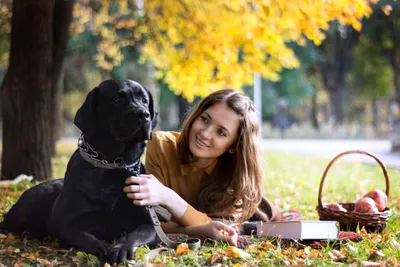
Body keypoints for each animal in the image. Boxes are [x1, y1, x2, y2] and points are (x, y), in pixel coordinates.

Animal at [0, 79, 165, 264]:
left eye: (144, 100)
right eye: (116, 100)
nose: (143, 114)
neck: (113, 165)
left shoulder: (150, 224)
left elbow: (135, 235)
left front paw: (121, 248)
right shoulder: (65, 224)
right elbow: (82, 236)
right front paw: (101, 247)